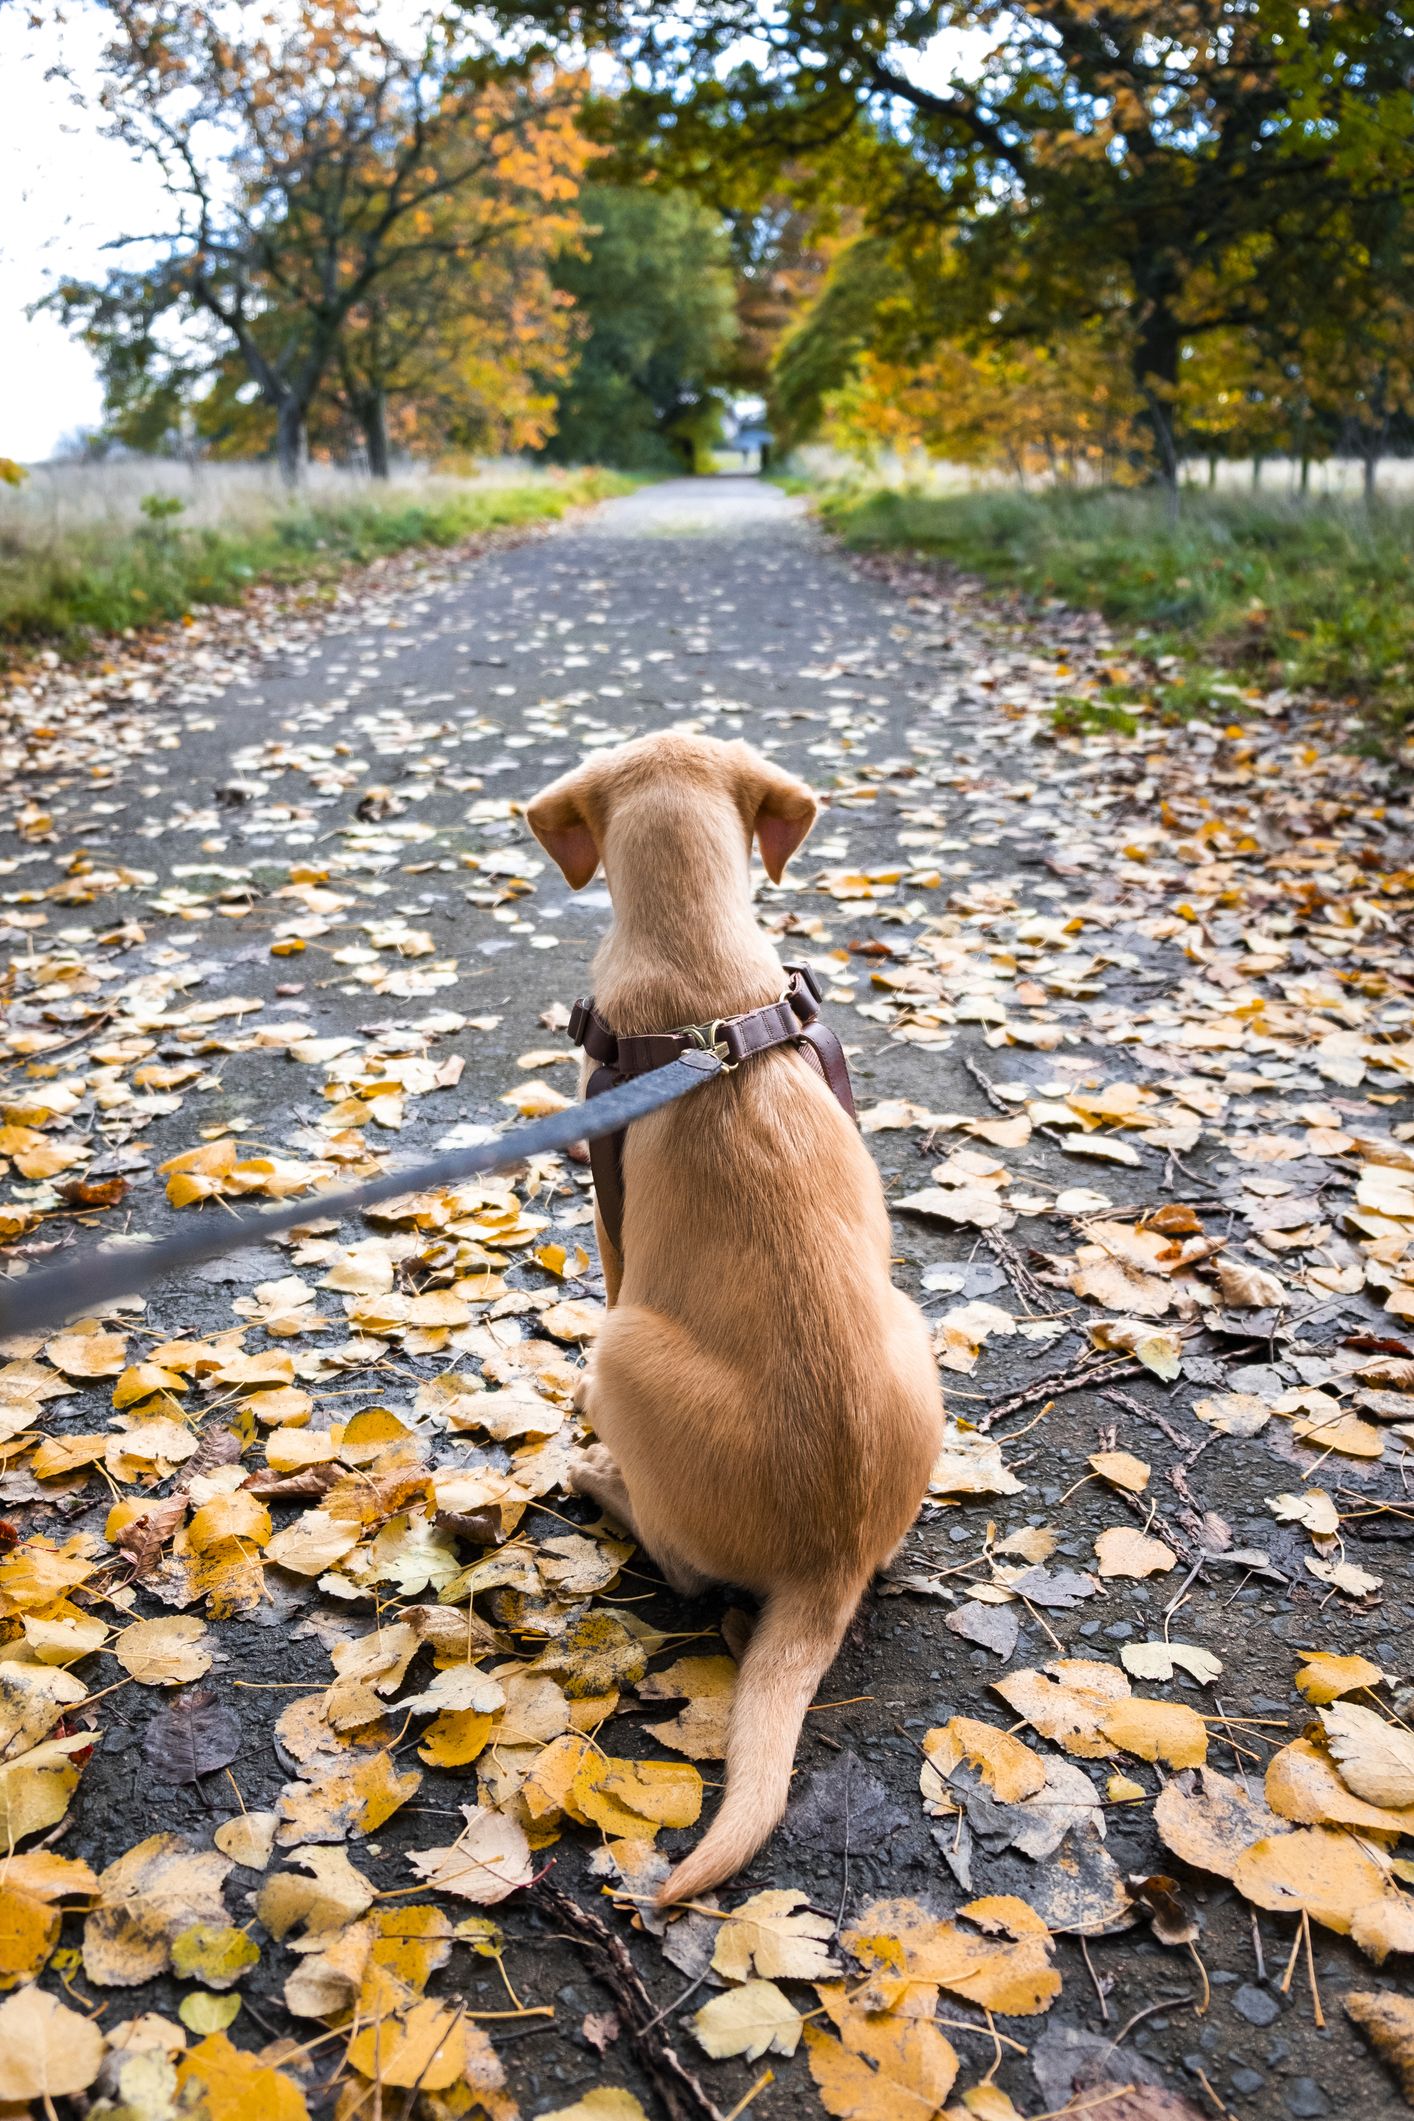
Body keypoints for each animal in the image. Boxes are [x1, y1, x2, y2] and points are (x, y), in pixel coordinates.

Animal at [525, 733, 945, 1908]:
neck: (706, 985)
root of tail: (829, 1563)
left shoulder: (609, 1206)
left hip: (630, 1354)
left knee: (679, 1561)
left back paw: (600, 1478)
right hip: (912, 1324)